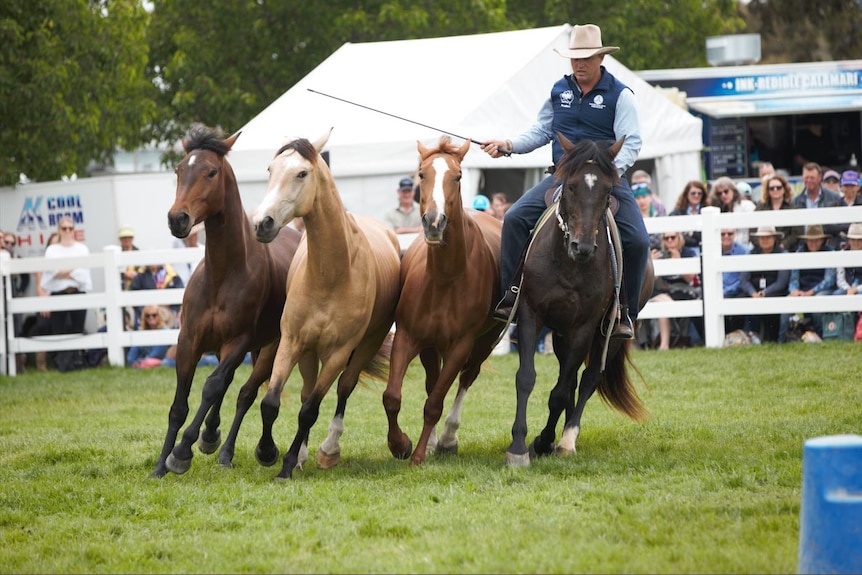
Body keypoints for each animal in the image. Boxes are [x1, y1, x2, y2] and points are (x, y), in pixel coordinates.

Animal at [152, 128, 304, 480]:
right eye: (179, 169)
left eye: (211, 172)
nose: (177, 218)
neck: (223, 274)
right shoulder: (188, 341)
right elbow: (179, 405)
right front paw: (161, 465)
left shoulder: (238, 342)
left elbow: (212, 387)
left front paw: (181, 452)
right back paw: (212, 436)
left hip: (271, 348)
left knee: (245, 393)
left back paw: (234, 450)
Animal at [248, 129, 400, 482]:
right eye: (270, 170)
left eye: (302, 173)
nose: (262, 223)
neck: (330, 275)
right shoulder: (291, 341)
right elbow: (271, 402)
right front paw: (268, 452)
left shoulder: (339, 353)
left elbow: (310, 410)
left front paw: (286, 464)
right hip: (307, 351)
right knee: (305, 390)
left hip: (366, 344)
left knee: (344, 389)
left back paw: (328, 450)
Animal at [384, 136, 506, 468]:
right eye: (421, 174)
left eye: (459, 176)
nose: (434, 221)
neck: (445, 278)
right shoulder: (408, 337)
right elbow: (393, 397)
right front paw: (400, 444)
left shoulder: (461, 345)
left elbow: (435, 403)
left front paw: (418, 455)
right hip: (430, 346)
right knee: (432, 381)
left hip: (487, 339)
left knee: (466, 377)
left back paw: (448, 438)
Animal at [506, 135, 656, 468]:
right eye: (571, 186)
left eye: (608, 190)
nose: (582, 246)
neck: (568, 264)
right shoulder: (531, 315)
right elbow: (526, 378)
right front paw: (519, 446)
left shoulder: (584, 328)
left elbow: (561, 392)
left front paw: (545, 440)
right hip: (561, 336)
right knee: (572, 379)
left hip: (607, 337)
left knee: (587, 379)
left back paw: (566, 439)